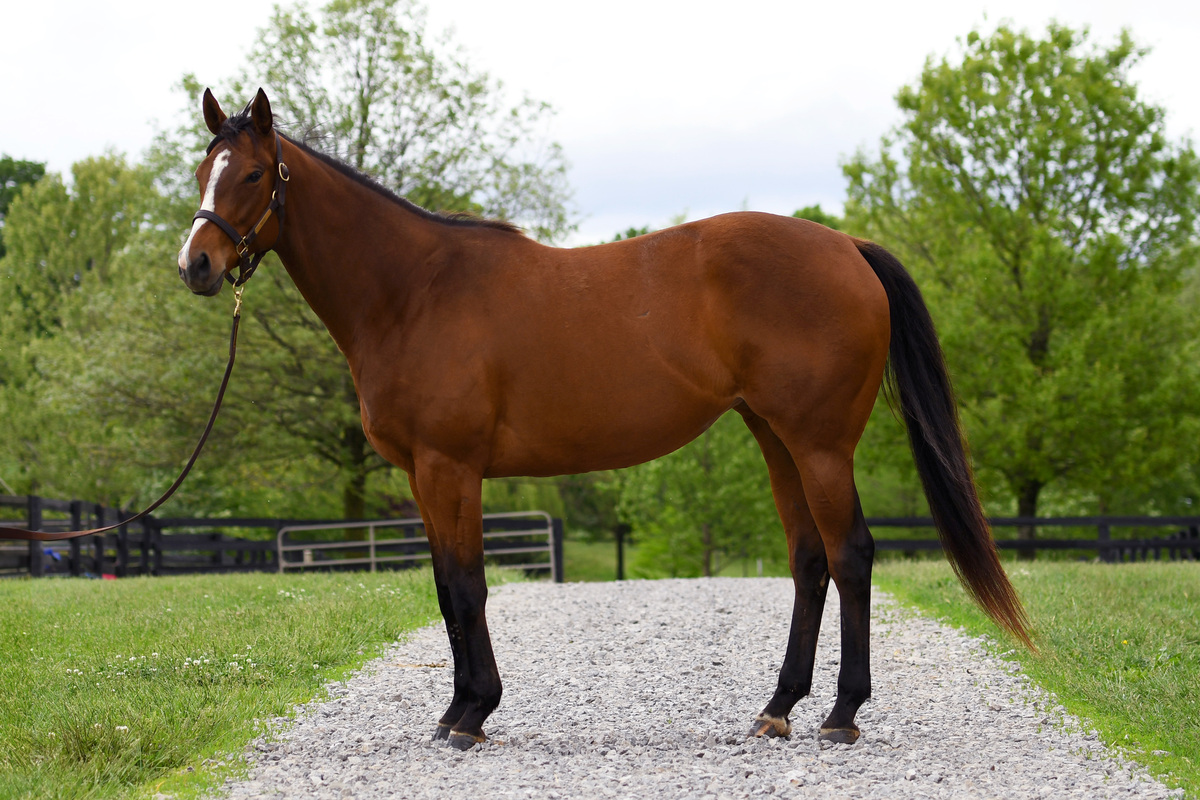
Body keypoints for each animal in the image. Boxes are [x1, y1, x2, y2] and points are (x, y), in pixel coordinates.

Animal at [179, 88, 1030, 750]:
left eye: (253, 173)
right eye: (200, 171)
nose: (197, 265)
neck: (414, 291)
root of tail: (848, 247)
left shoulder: (451, 467)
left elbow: (468, 586)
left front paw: (471, 714)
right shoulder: (425, 476)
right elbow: (446, 586)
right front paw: (458, 709)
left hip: (819, 444)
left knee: (850, 556)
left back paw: (842, 715)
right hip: (776, 439)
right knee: (809, 561)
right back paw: (777, 709)